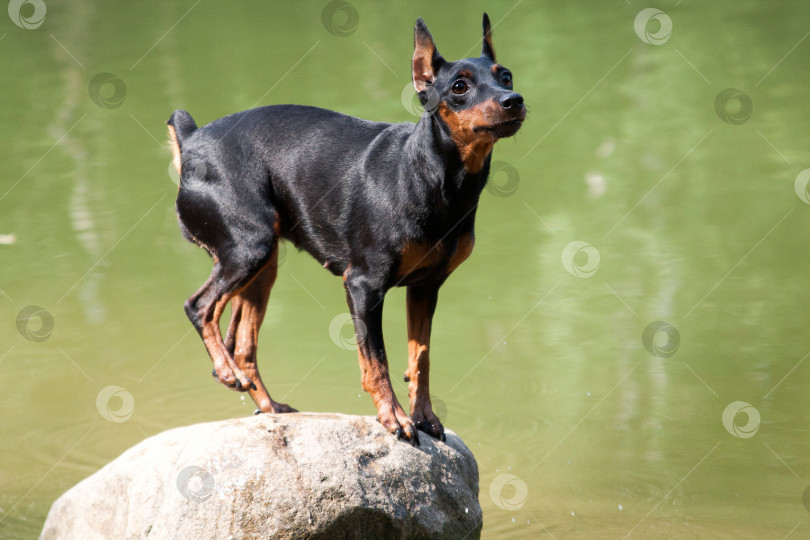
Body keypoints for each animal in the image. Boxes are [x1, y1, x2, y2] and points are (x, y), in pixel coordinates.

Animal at [167, 12, 528, 446]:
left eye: (506, 76)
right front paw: (395, 418)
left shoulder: (426, 287)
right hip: (247, 249)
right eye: (459, 86)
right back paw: (227, 374)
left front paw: (425, 417)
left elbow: (420, 359)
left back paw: (268, 405)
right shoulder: (363, 286)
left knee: (242, 344)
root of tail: (192, 140)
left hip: (262, 265)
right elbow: (377, 361)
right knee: (200, 307)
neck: (435, 175)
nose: (514, 100)